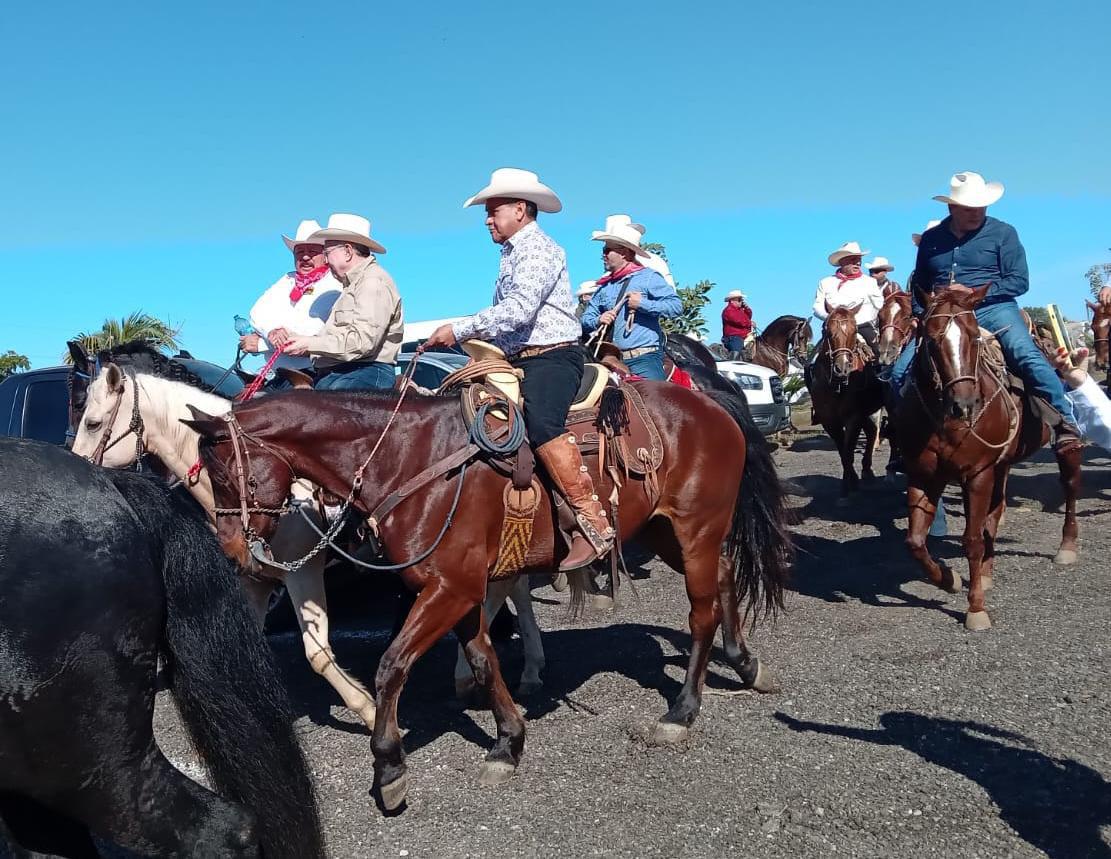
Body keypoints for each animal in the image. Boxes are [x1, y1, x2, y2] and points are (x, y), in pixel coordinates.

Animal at [184, 380, 791, 808]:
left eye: (227, 475)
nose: (233, 553)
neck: (409, 458)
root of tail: (710, 403)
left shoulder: (449, 589)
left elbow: (391, 666)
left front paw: (389, 767)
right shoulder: (457, 590)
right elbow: (482, 659)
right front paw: (508, 741)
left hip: (697, 528)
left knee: (700, 612)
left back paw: (682, 711)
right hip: (669, 531)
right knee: (726, 577)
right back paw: (747, 664)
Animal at [808, 302, 884, 500]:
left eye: (854, 329)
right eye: (827, 331)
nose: (841, 368)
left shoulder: (853, 417)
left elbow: (848, 451)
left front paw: (850, 485)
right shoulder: (829, 421)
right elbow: (843, 451)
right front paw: (848, 483)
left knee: (873, 431)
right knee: (871, 431)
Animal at [897, 288, 1079, 631]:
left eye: (973, 337)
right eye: (931, 339)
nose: (965, 404)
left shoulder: (977, 474)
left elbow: (971, 540)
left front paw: (976, 608)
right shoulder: (924, 475)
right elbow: (915, 542)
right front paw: (950, 579)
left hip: (1061, 444)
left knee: (1071, 485)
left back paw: (1067, 547)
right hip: (1001, 466)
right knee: (994, 516)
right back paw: (986, 572)